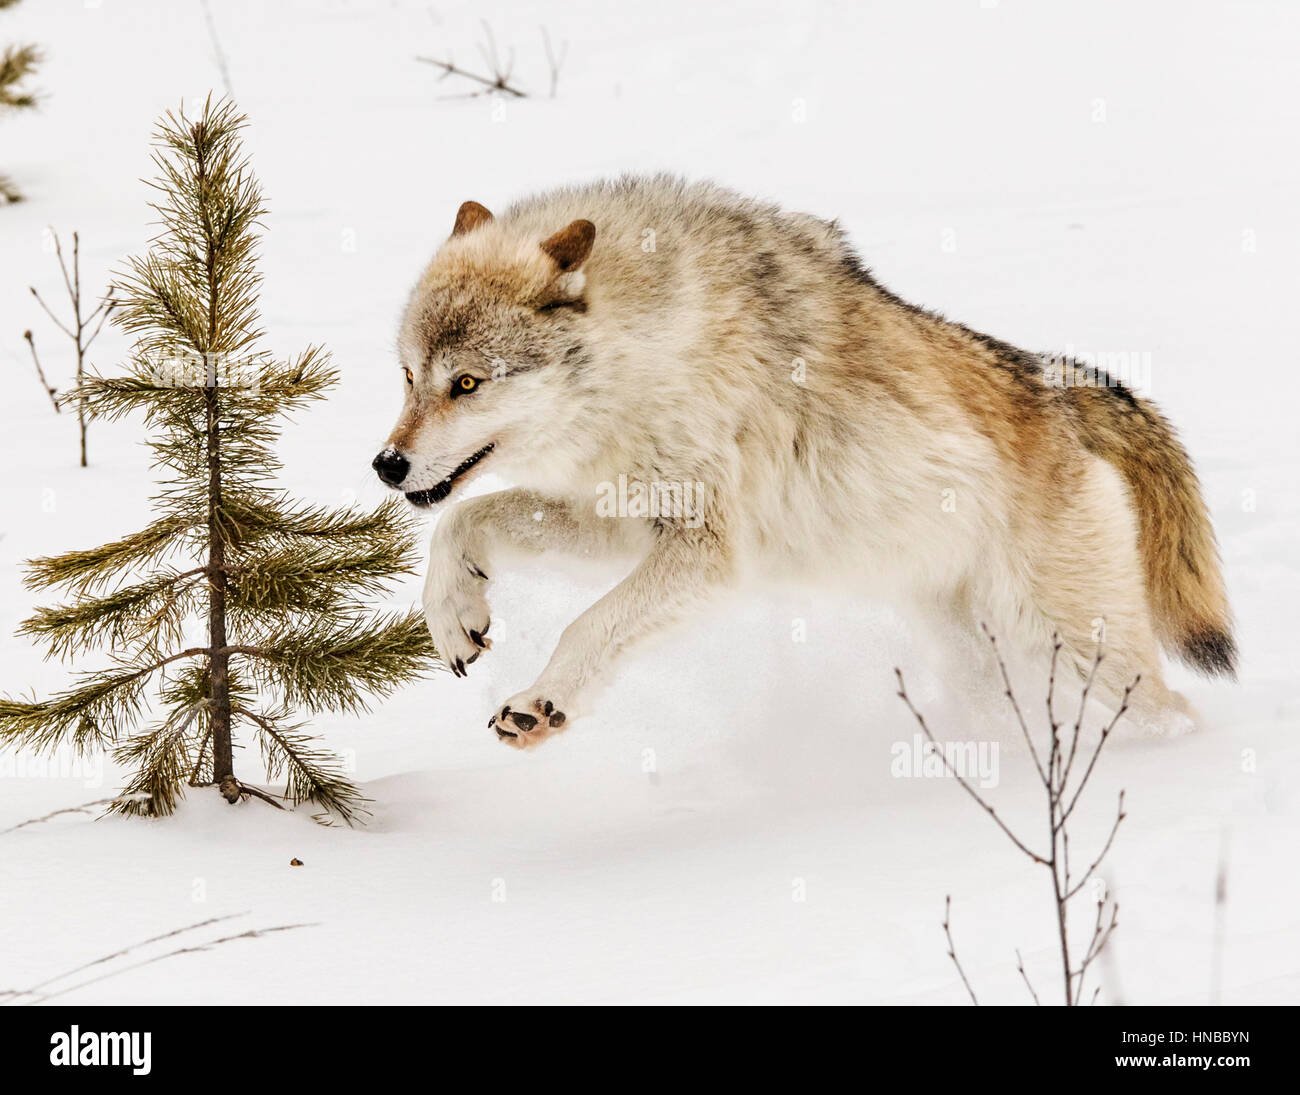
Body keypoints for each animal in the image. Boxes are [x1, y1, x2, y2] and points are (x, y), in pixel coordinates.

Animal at [373, 176, 1234, 747]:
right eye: (410, 376)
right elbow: (466, 517)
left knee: (1176, 710)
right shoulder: (621, 521)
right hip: (975, 641)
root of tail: (1054, 387)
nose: (387, 465)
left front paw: (541, 702)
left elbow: (590, 623)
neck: (652, 347)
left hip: (1072, 644)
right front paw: (452, 612)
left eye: (467, 383)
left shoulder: (707, 552)